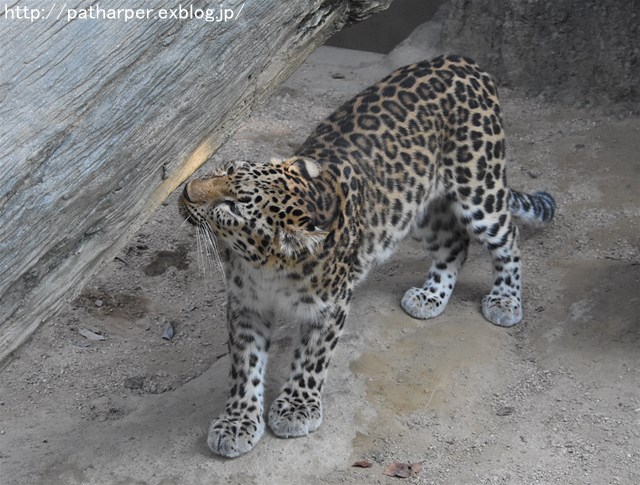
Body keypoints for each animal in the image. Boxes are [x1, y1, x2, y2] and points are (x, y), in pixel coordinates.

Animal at [179, 54, 556, 456]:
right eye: (226, 169)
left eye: (232, 207)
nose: (187, 190)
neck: (265, 266)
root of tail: (462, 60)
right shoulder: (246, 305)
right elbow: (244, 365)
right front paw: (237, 422)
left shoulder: (331, 305)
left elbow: (312, 357)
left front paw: (297, 407)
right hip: (415, 207)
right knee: (454, 243)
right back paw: (430, 296)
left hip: (478, 187)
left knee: (506, 236)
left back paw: (505, 300)